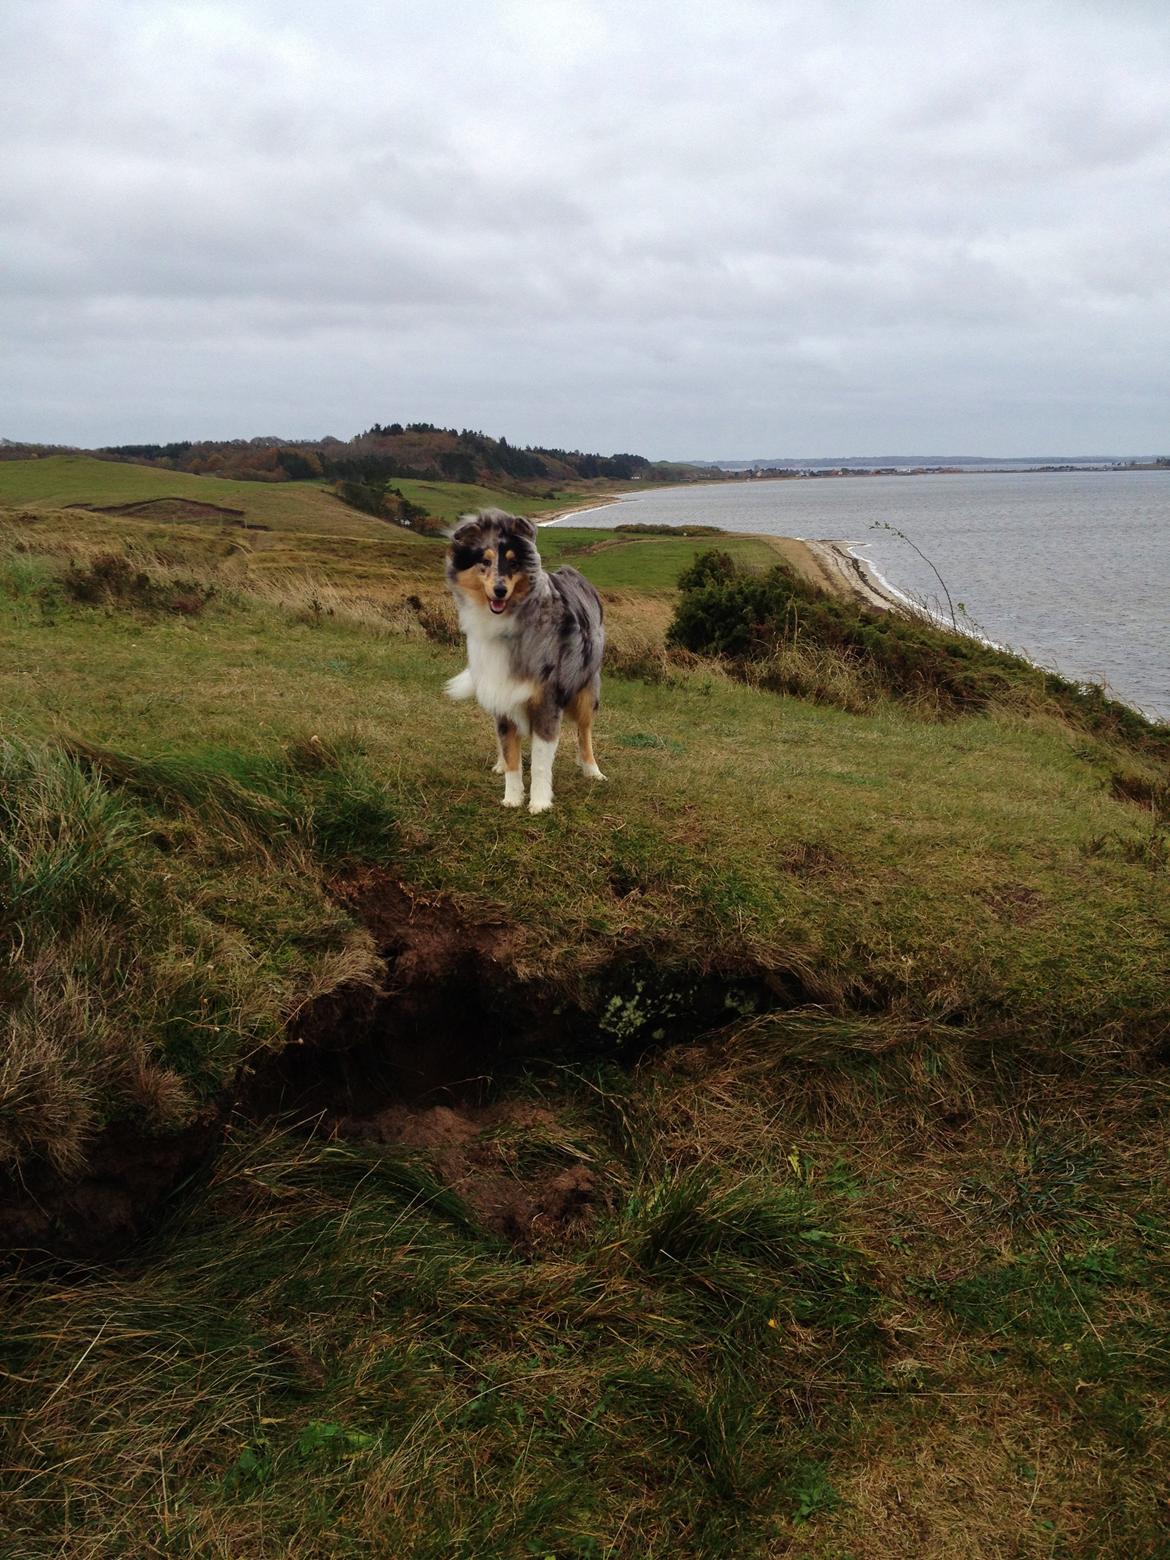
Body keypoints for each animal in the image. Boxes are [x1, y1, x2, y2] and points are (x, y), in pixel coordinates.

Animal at [446, 508, 605, 817]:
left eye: (513, 562)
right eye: (485, 561)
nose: (499, 590)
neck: (508, 624)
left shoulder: (546, 702)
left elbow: (542, 761)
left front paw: (540, 803)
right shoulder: (501, 694)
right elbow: (511, 757)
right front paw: (512, 797)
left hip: (586, 690)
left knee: (585, 731)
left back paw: (593, 770)